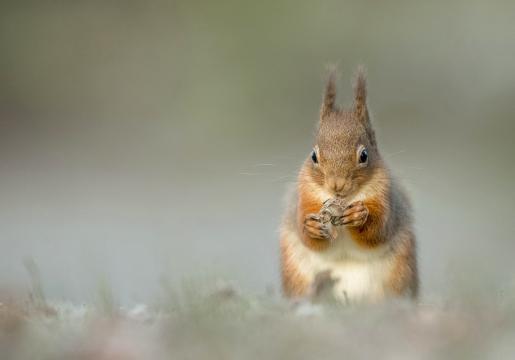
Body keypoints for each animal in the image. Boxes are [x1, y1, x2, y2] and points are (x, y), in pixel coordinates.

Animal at [282, 68, 420, 304]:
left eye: (364, 155)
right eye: (313, 156)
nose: (337, 184)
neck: (345, 199)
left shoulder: (386, 198)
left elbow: (379, 230)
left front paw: (359, 216)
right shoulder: (305, 195)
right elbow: (306, 234)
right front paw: (311, 227)